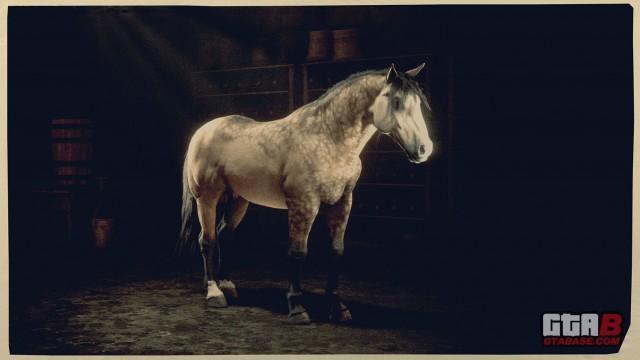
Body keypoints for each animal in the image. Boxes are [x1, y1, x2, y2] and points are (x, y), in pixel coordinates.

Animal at [180, 63, 436, 324]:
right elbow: (298, 252)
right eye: (396, 101)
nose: (425, 149)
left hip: (239, 201)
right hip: (207, 198)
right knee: (207, 239)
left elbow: (336, 251)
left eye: (418, 102)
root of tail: (202, 132)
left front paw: (338, 307)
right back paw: (214, 293)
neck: (329, 138)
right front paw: (297, 308)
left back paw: (226, 285)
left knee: (223, 235)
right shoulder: (304, 204)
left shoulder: (342, 202)